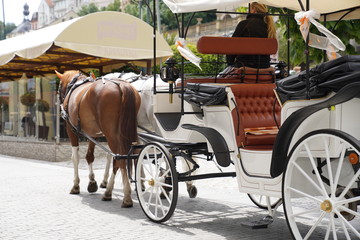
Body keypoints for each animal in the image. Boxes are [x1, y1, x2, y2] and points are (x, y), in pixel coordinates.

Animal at [56, 70, 141, 208]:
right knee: (122, 158)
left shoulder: (71, 130)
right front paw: (92, 182)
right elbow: (89, 156)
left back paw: (125, 196)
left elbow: (75, 158)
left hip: (112, 135)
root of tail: (122, 86)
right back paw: (110, 191)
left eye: (59, 87)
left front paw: (76, 185)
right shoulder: (93, 134)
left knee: (119, 158)